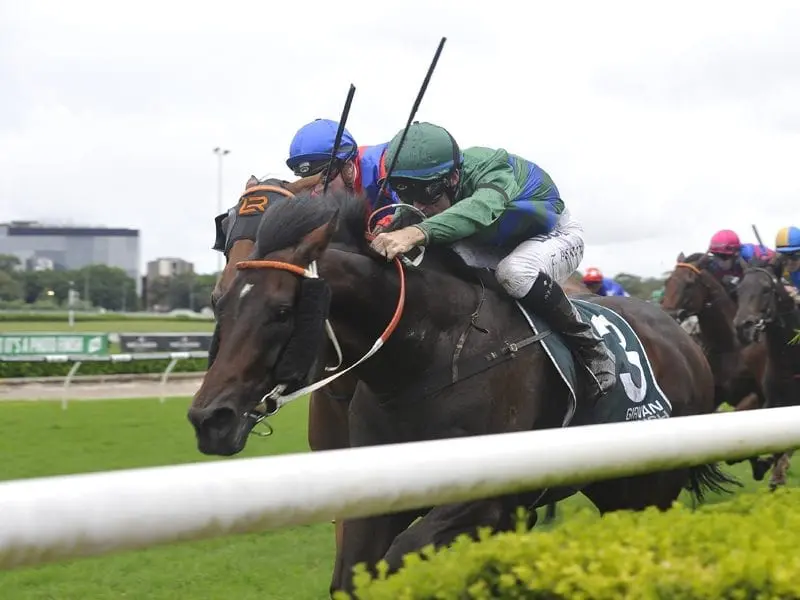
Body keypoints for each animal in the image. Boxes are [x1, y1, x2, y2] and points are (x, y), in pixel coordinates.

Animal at [189, 191, 736, 596]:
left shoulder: (487, 503)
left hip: (649, 489)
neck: (431, 356)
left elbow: (397, 559)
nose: (209, 419)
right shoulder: (378, 494)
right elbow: (352, 576)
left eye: (281, 311)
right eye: (220, 304)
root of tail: (682, 337)